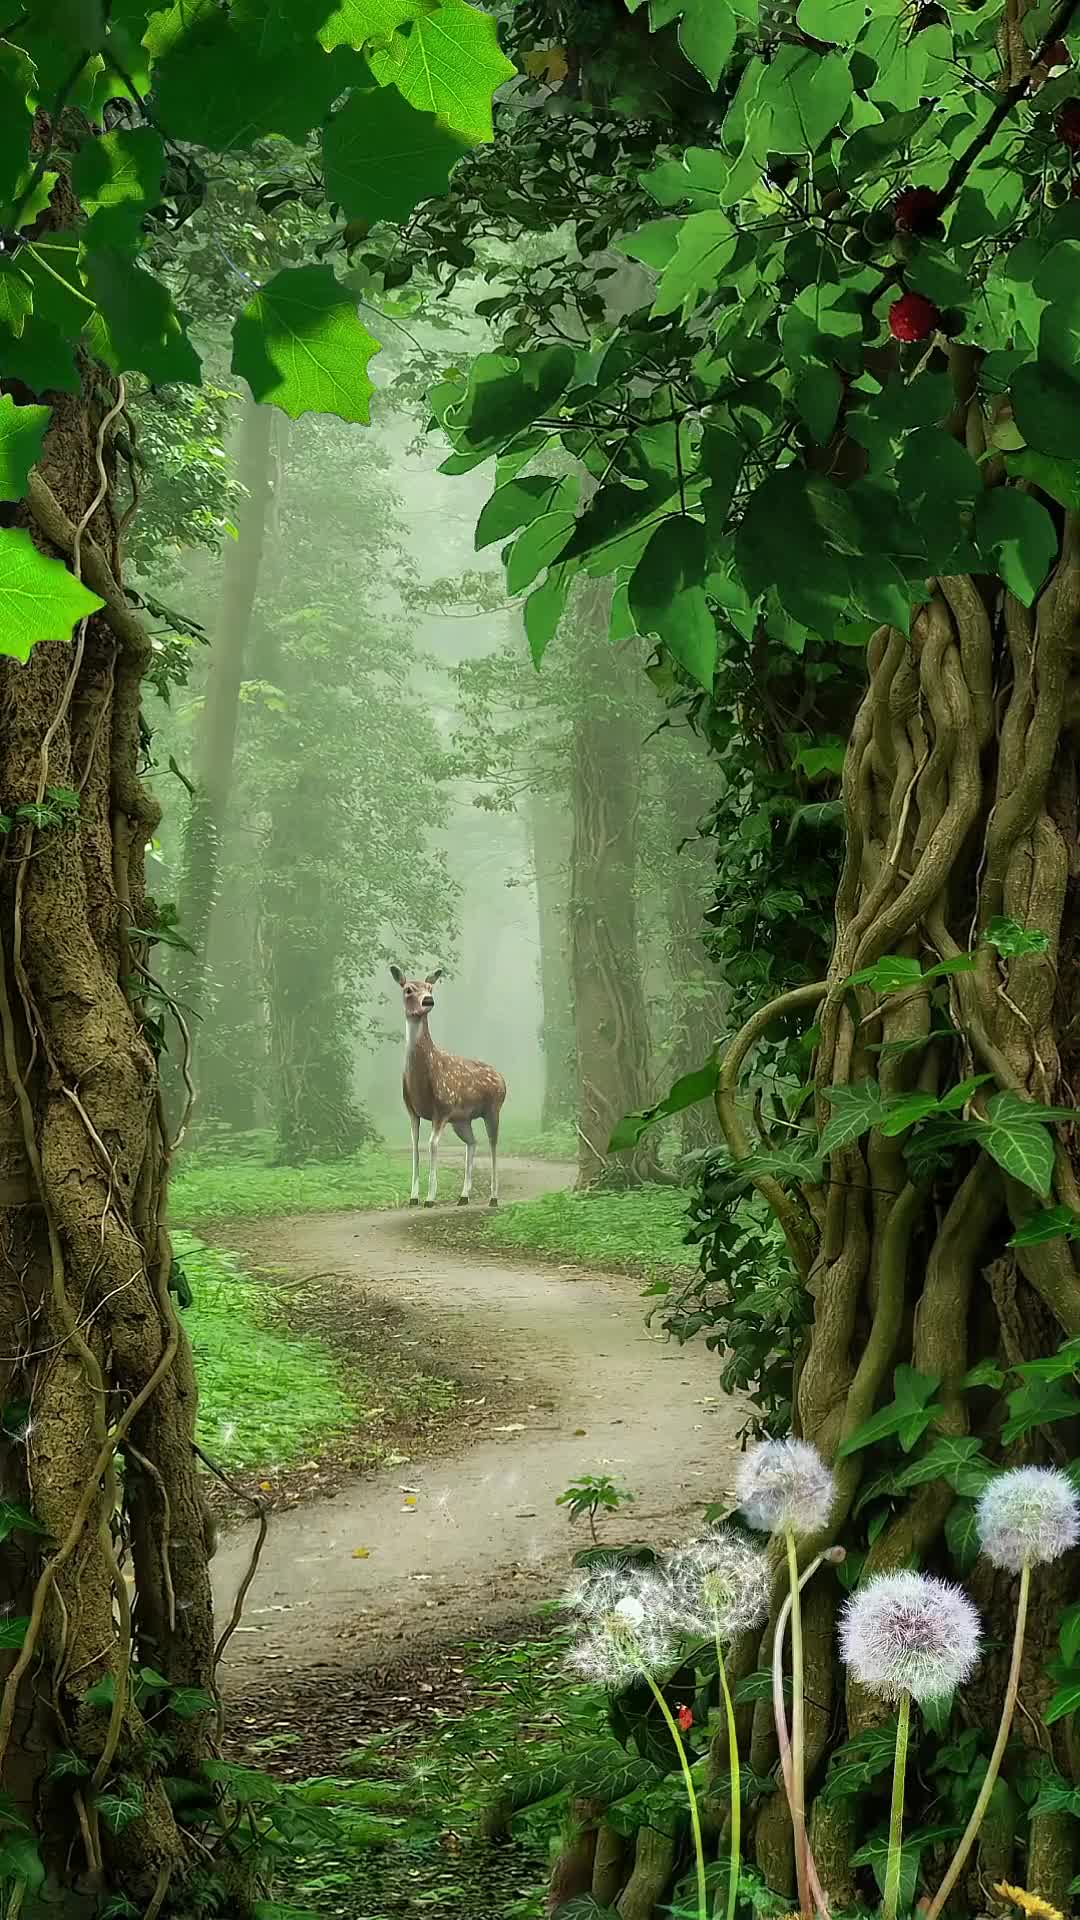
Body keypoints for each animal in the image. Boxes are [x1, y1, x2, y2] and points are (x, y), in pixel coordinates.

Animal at [388, 967, 507, 1205]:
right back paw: (464, 1196)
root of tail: (503, 1080)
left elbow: (432, 1144)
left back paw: (493, 1197)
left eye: (430, 988)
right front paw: (413, 1197)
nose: (428, 1000)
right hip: (462, 1119)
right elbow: (415, 1145)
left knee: (493, 1144)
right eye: (408, 989)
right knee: (473, 1142)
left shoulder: (442, 1108)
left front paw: (429, 1198)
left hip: (493, 1108)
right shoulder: (412, 1110)